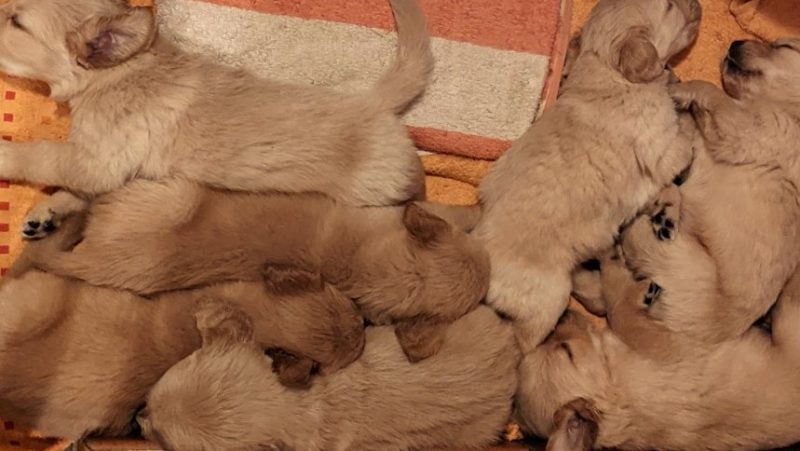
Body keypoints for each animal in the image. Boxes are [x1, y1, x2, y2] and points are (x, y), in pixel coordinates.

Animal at [0, 0, 432, 239]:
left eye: (17, 22)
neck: (121, 71)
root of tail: (374, 101)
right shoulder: (107, 166)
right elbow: (74, 185)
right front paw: (48, 211)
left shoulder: (98, 160)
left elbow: (39, 154)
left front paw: (6, 154)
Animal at [24, 179, 490, 363]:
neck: (364, 269)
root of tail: (93, 259)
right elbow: (449, 213)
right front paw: (477, 209)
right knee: (86, 195)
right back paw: (45, 215)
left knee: (88, 201)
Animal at [473, 0, 700, 360]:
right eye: (669, 6)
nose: (699, 5)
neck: (605, 70)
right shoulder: (661, 147)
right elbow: (684, 145)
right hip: (548, 296)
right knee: (525, 341)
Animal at [517, 250, 800, 450]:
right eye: (566, 351)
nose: (561, 318)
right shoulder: (665, 341)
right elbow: (620, 310)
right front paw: (614, 268)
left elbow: (601, 302)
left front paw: (579, 277)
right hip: (790, 318)